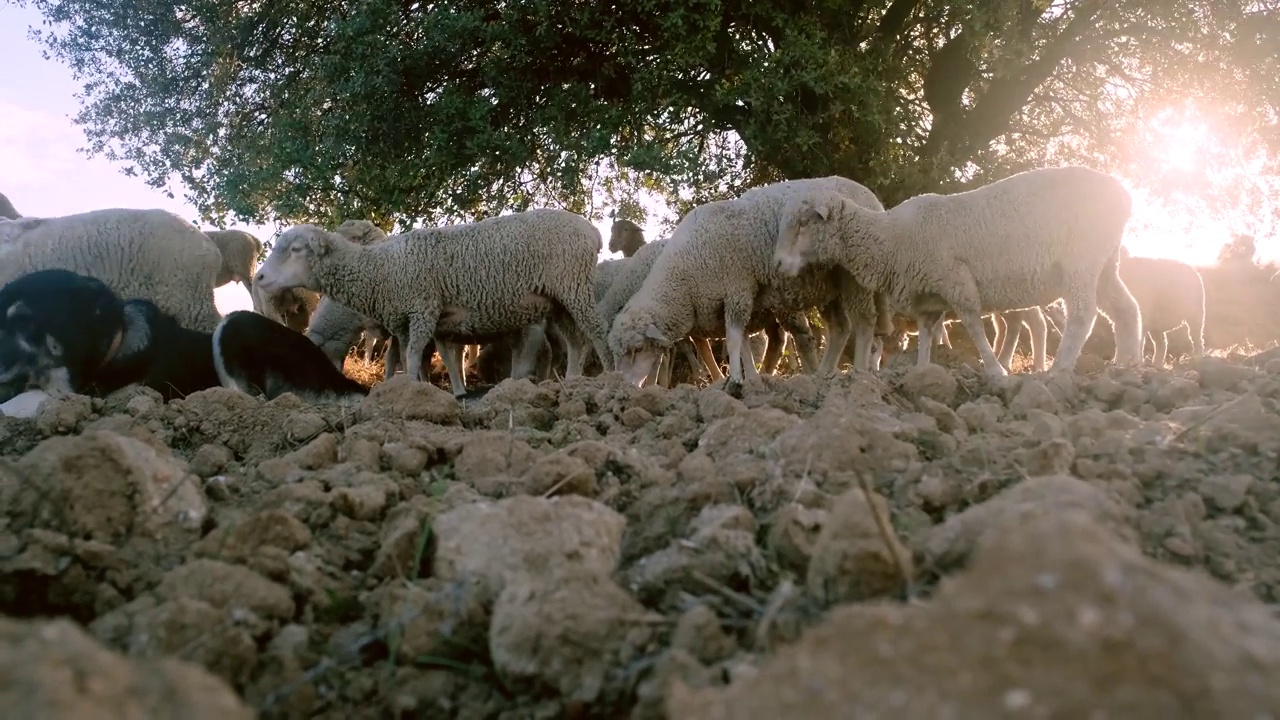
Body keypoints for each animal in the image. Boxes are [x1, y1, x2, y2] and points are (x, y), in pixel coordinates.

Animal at [253, 204, 609, 389]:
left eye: (296, 249)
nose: (259, 277)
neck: (381, 269)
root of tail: (591, 231)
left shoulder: (422, 309)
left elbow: (410, 357)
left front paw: (410, 392)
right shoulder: (411, 322)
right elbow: (421, 359)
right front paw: (432, 390)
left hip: (573, 287)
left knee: (595, 333)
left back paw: (613, 375)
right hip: (559, 300)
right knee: (576, 342)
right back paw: (573, 381)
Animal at [606, 174, 885, 386]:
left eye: (638, 349)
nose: (621, 386)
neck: (685, 272)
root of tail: (871, 197)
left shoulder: (737, 287)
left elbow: (733, 340)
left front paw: (736, 380)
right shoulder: (728, 301)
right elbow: (742, 344)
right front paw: (749, 378)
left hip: (855, 278)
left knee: (861, 324)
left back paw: (859, 374)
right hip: (830, 288)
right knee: (840, 328)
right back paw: (822, 375)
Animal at [768, 162, 1141, 376]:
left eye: (804, 223)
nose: (778, 264)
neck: (891, 239)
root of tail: (1123, 194)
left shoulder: (956, 281)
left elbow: (974, 326)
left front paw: (995, 370)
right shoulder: (928, 297)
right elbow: (927, 335)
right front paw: (922, 371)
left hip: (1082, 259)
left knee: (1082, 314)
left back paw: (1060, 369)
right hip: (1105, 263)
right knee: (1126, 308)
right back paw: (1126, 364)